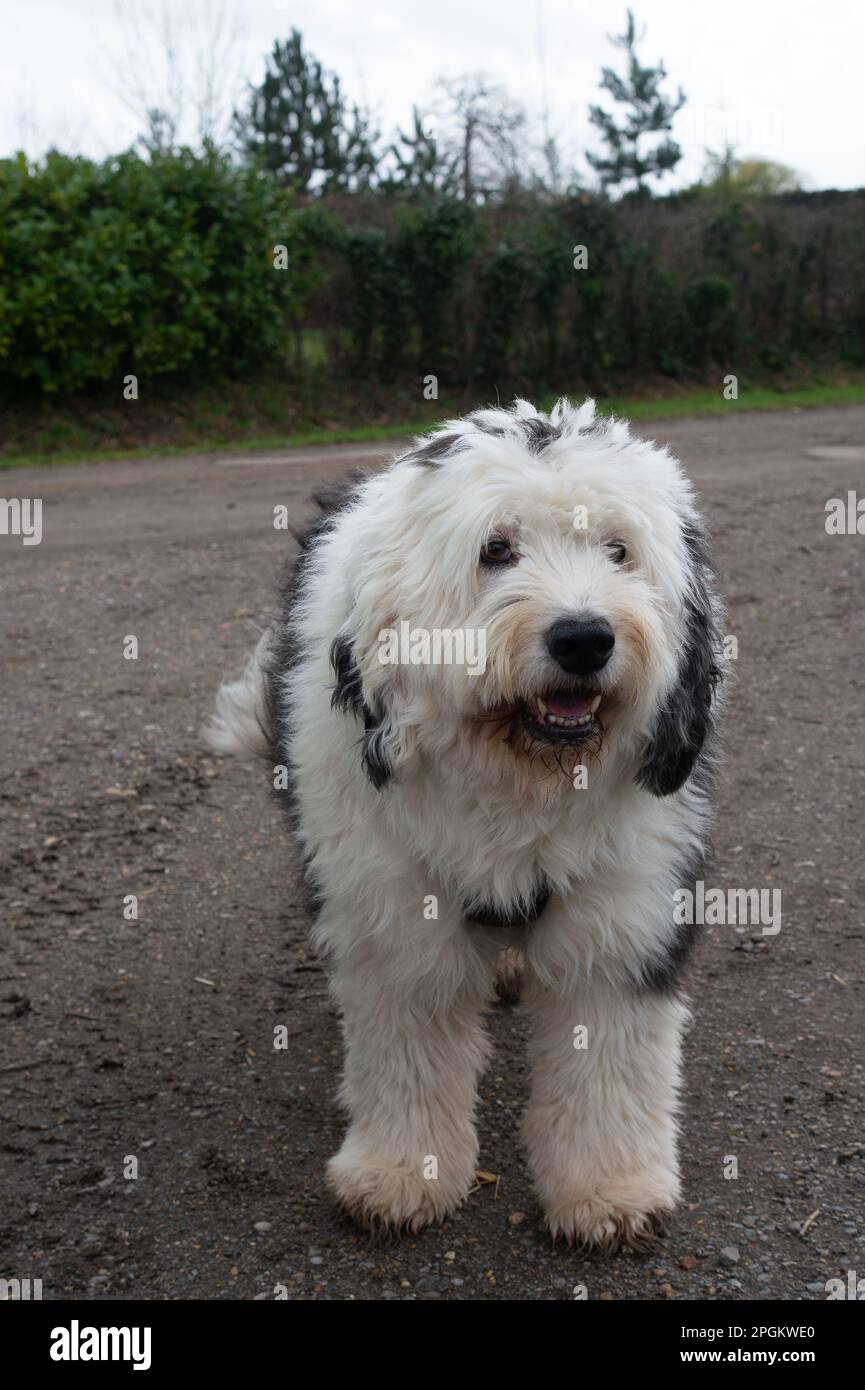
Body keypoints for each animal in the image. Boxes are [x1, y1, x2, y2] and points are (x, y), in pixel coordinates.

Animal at [208, 394, 723, 1251]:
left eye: (619, 550)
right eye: (496, 550)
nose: (584, 637)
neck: (518, 775)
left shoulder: (627, 906)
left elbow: (609, 1056)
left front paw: (608, 1187)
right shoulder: (393, 915)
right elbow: (408, 1048)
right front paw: (399, 1174)